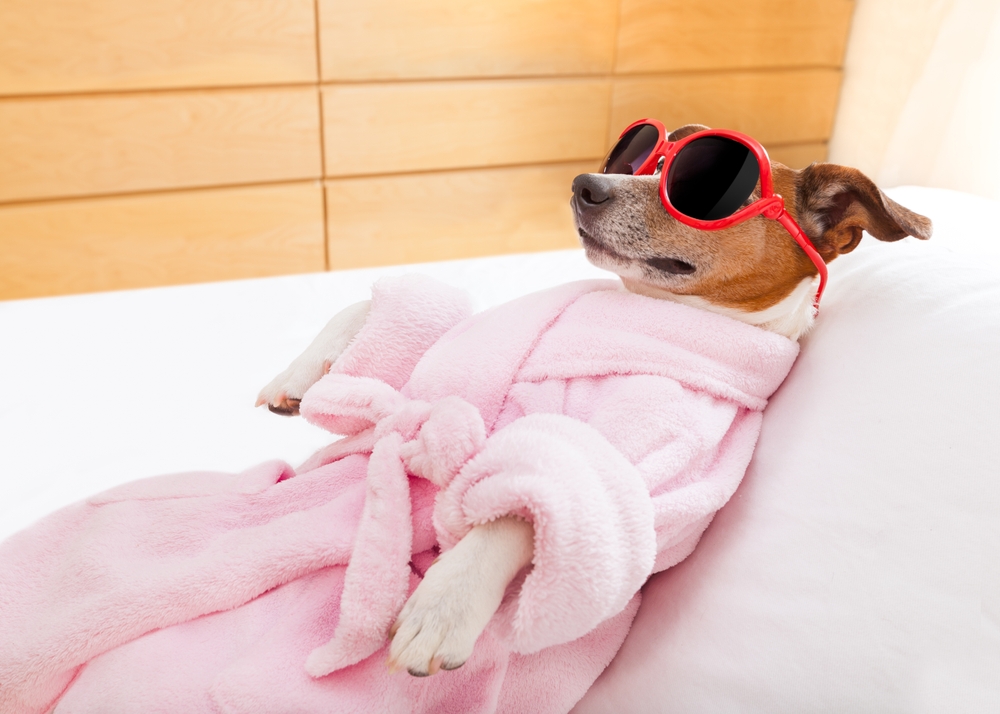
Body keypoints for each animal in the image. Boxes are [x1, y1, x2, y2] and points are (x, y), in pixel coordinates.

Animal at [256, 125, 928, 676]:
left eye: (704, 186)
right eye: (642, 157)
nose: (585, 184)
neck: (655, 313)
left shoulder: (661, 463)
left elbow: (540, 502)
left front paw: (446, 601)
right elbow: (372, 313)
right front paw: (300, 372)